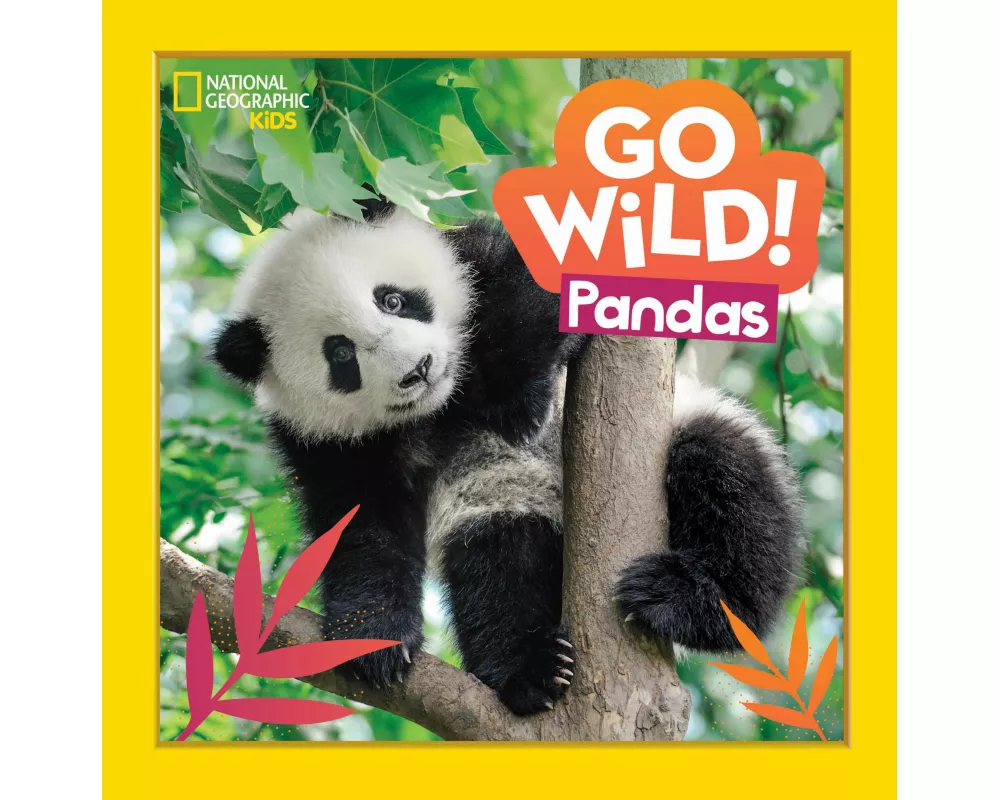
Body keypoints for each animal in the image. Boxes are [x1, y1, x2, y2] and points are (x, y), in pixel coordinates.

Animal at [211, 199, 804, 716]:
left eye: (393, 300)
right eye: (341, 354)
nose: (418, 369)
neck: (442, 406)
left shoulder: (478, 256)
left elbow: (529, 296)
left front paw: (518, 401)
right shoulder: (327, 442)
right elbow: (361, 525)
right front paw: (373, 638)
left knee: (727, 482)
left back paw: (686, 600)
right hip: (504, 502)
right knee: (498, 567)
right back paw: (532, 670)